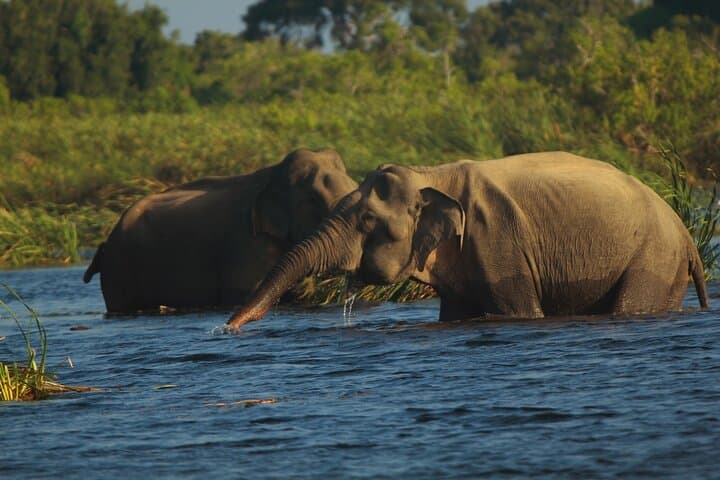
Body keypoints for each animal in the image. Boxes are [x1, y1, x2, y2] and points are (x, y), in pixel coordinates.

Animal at [227, 151, 709, 328]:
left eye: (367, 219)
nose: (228, 328)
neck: (432, 175)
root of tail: (688, 237)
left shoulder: (498, 241)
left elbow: (519, 311)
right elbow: (456, 313)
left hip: (653, 259)